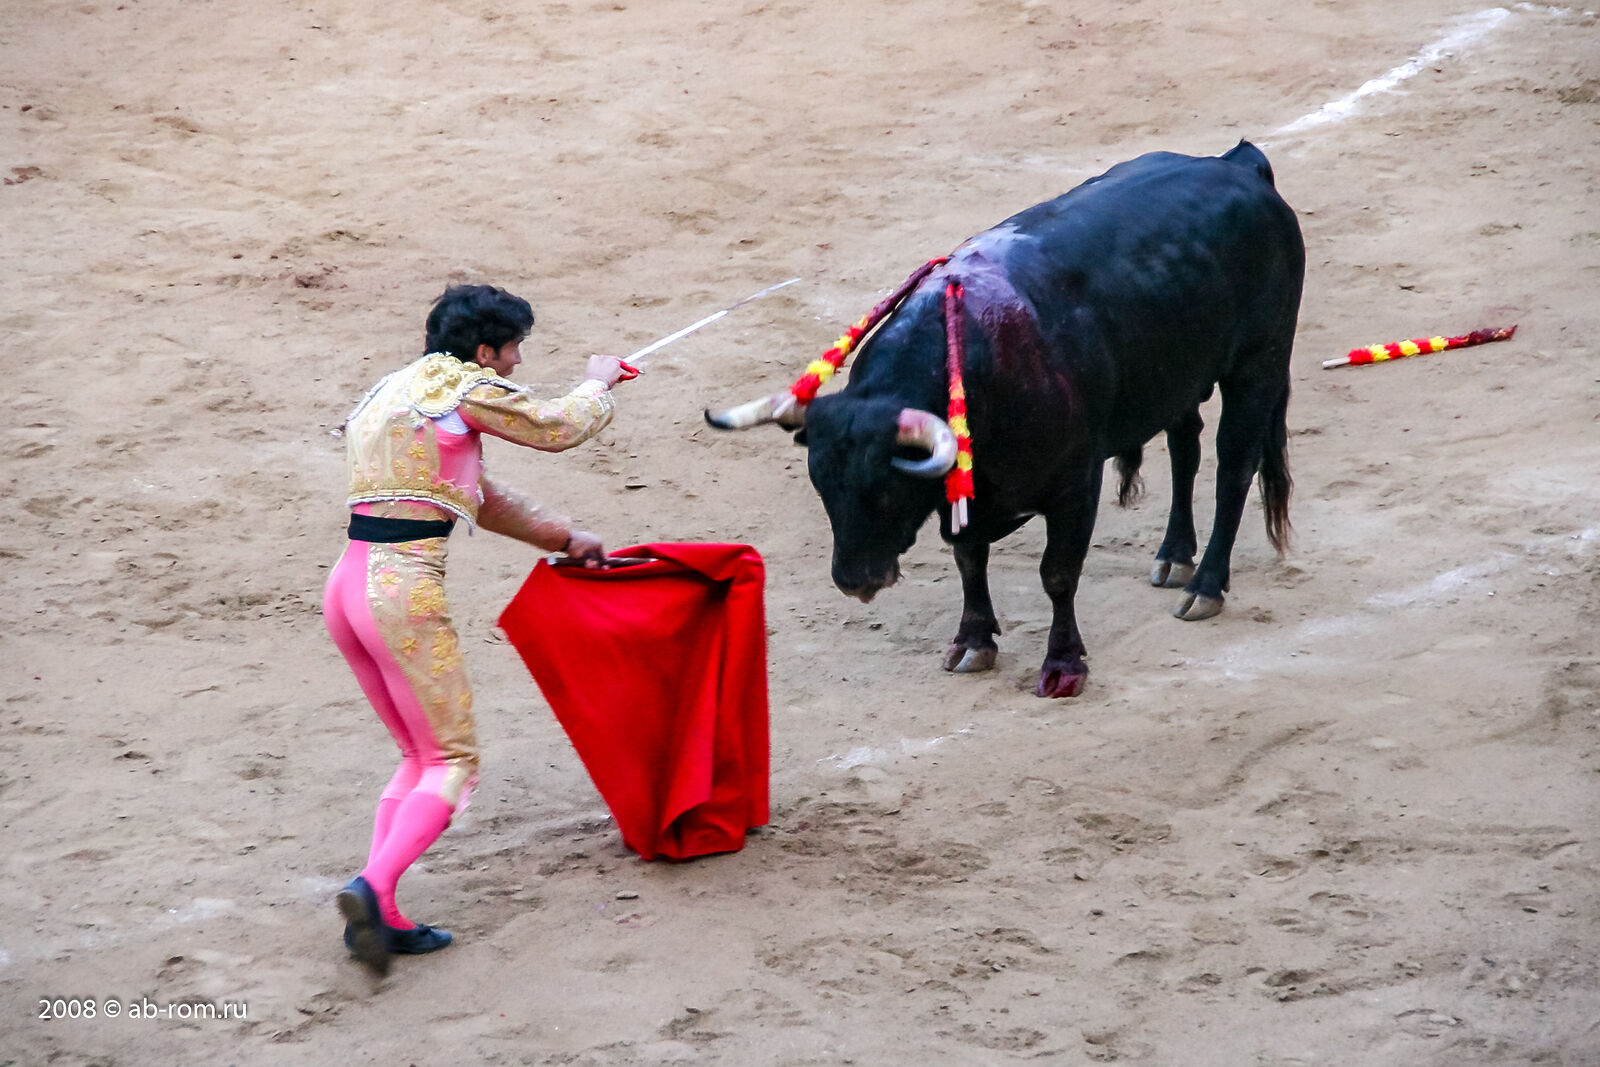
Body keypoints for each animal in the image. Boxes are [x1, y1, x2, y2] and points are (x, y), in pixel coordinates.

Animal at [706, 141, 1304, 697]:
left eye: (887, 490)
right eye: (822, 486)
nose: (854, 580)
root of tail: (1239, 164)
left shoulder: (1075, 484)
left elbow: (1057, 573)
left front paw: (1063, 665)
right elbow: (969, 558)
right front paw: (973, 642)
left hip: (1259, 362)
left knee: (1233, 467)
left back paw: (1204, 586)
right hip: (1180, 375)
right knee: (1186, 447)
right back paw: (1173, 558)